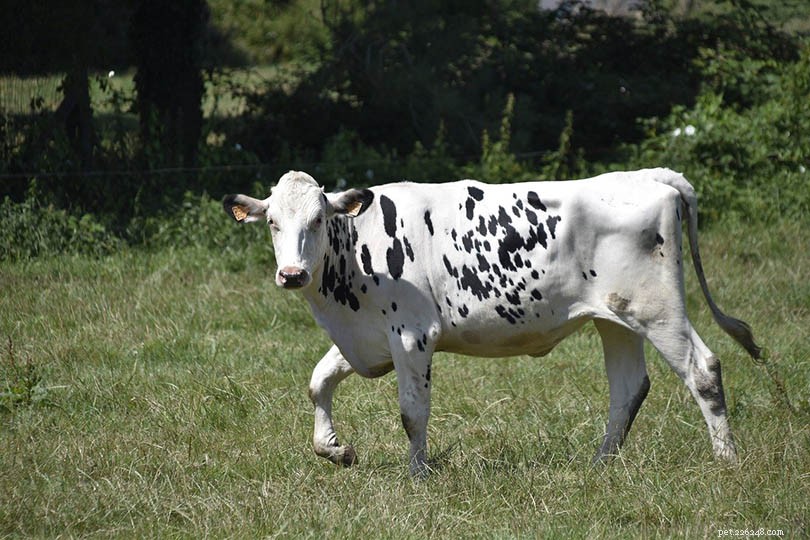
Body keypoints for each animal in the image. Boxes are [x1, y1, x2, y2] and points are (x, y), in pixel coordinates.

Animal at [223, 168, 760, 476]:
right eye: (273, 223)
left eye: (317, 220)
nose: (292, 274)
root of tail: (651, 176)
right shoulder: (365, 338)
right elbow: (318, 382)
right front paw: (337, 451)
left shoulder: (412, 335)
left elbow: (412, 412)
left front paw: (416, 476)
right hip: (617, 317)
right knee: (628, 387)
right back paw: (599, 465)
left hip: (658, 310)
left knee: (703, 370)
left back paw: (727, 462)